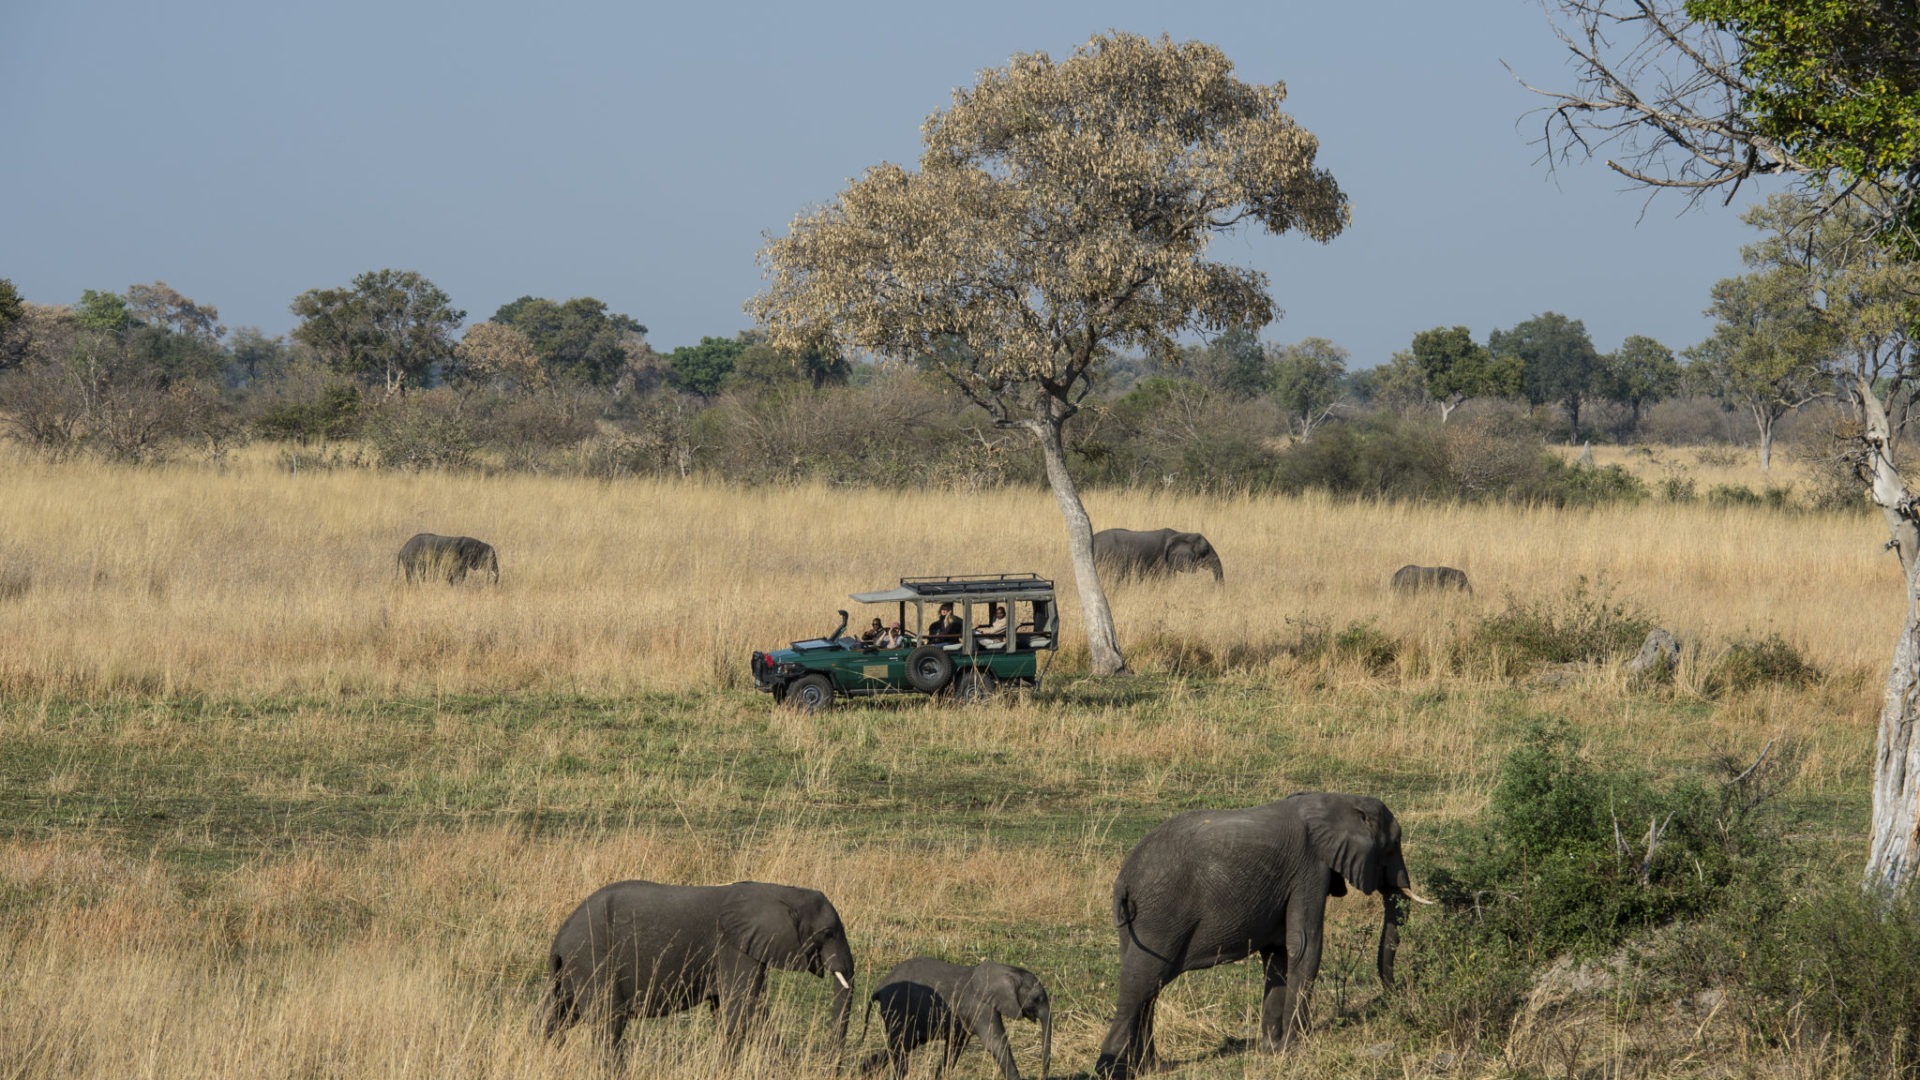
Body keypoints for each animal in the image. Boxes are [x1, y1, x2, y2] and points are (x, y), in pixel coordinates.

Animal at [538, 879, 856, 1059]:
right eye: (827, 933)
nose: (830, 1064)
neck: (780, 891)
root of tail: (560, 939)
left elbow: (730, 1012)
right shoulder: (732, 947)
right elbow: (746, 1010)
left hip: (572, 969)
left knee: (555, 1016)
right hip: (593, 959)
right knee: (608, 1024)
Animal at [861, 958, 1051, 1080]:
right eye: (1037, 999)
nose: (1042, 1075)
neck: (1006, 971)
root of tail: (878, 988)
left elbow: (956, 1046)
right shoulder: (979, 1006)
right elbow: (996, 1042)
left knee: (900, 1046)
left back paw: (865, 1070)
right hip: (898, 1008)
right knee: (901, 1047)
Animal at [1094, 793, 1431, 1077]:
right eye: (1393, 845)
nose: (1397, 992)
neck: (1336, 800)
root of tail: (1125, 880)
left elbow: (1278, 954)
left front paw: (1271, 1051)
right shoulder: (1310, 868)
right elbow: (1304, 945)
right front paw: (1293, 1050)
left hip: (1136, 923)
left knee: (1147, 987)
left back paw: (1152, 1067)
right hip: (1161, 916)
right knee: (1141, 984)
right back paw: (1109, 1071)